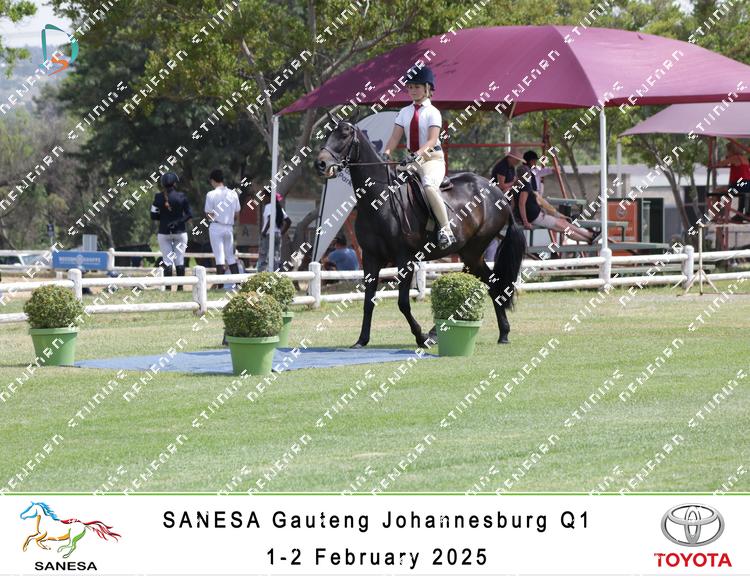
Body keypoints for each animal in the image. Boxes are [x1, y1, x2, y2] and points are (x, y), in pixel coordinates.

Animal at [316, 117, 526, 347]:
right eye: (329, 133)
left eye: (344, 135)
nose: (321, 164)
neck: (380, 200)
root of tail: (498, 192)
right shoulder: (371, 258)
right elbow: (368, 301)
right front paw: (362, 340)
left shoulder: (404, 259)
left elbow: (403, 303)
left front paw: (420, 336)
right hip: (468, 254)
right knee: (486, 283)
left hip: (474, 250)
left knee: (492, 284)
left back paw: (500, 333)